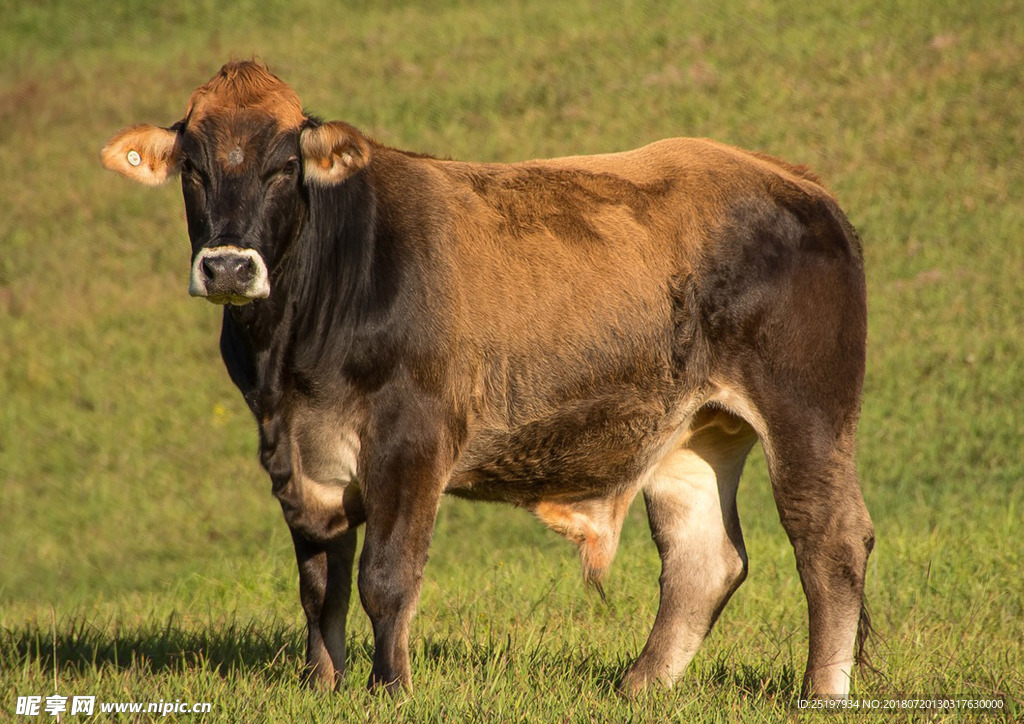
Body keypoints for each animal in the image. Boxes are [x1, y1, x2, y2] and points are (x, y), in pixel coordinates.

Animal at [101, 62, 872, 700]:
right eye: (192, 169)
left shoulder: (411, 437)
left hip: (806, 411)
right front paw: (322, 685)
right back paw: (638, 688)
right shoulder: (291, 447)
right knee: (704, 560)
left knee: (829, 538)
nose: (229, 266)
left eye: (285, 166)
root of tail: (793, 178)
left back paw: (818, 693)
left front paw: (389, 689)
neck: (293, 350)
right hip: (694, 431)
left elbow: (386, 576)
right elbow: (320, 584)